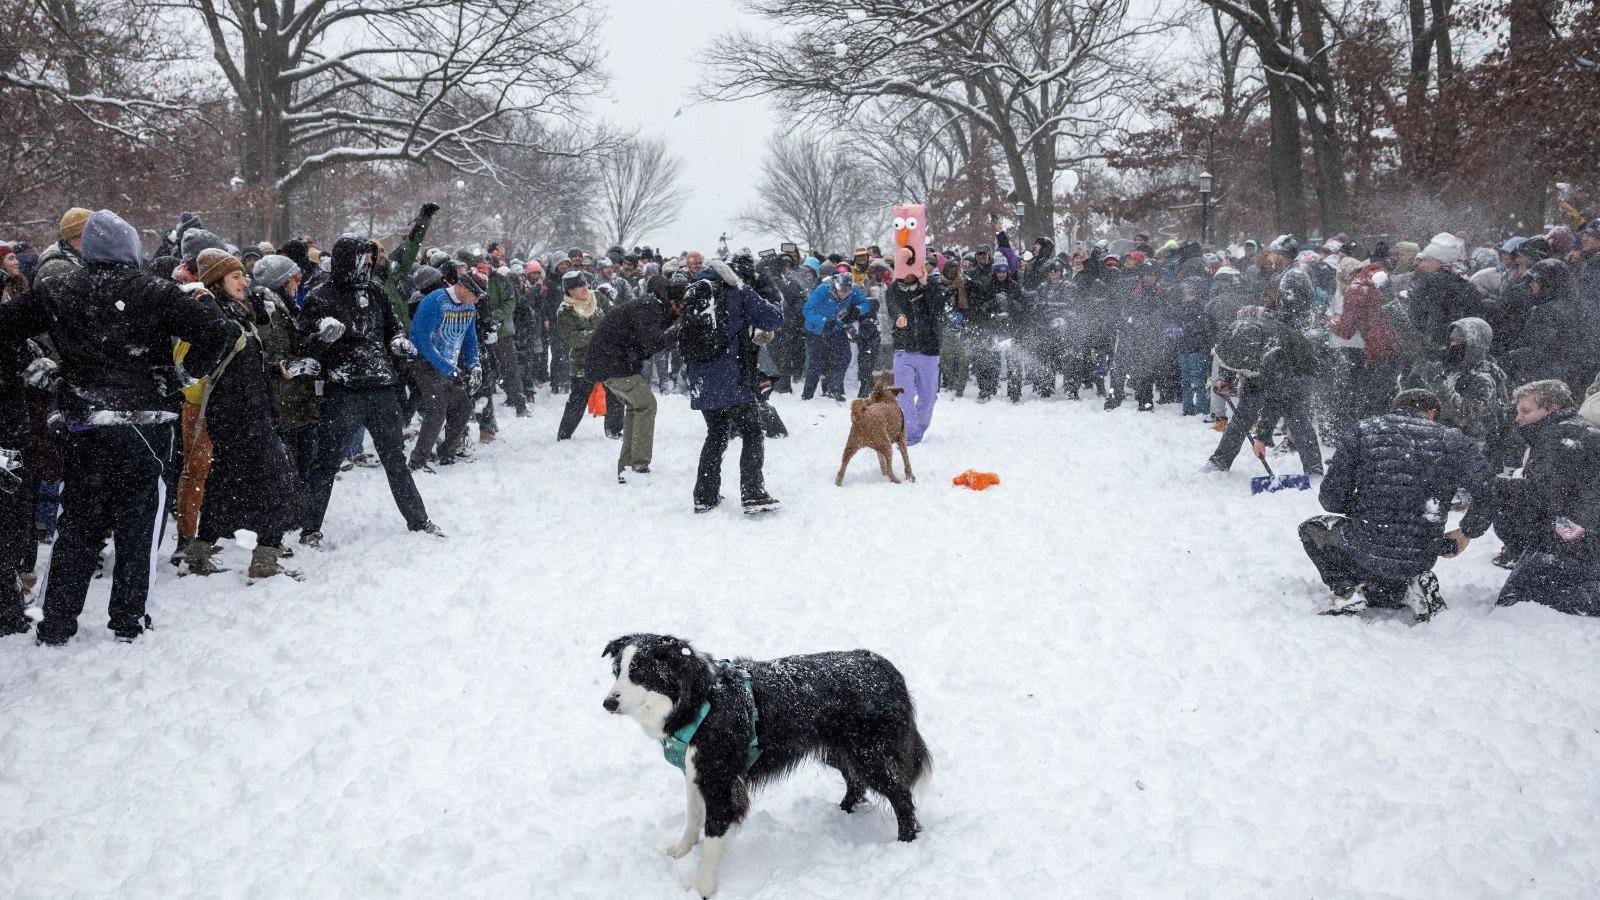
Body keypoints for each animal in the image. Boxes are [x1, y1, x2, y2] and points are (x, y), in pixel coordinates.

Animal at [601, 634, 934, 890]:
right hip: (839, 751)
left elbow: (713, 833)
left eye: (639, 673)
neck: (702, 701)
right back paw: (844, 813)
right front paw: (681, 852)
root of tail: (888, 670)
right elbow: (693, 816)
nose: (607, 703)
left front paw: (702, 888)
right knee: (856, 781)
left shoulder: (719, 781)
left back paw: (905, 841)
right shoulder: (695, 772)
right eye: (617, 671)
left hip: (870, 754)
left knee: (901, 795)